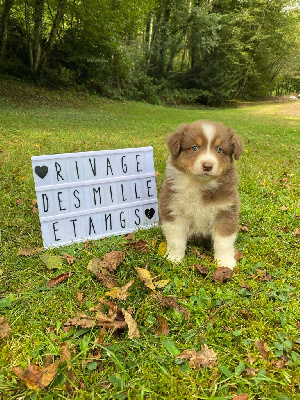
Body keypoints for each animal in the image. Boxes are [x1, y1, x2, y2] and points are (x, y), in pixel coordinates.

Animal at [158, 119, 243, 268]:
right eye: (194, 148)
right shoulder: (173, 209)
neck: (200, 184)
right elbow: (176, 239)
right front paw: (174, 258)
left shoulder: (226, 211)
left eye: (219, 149)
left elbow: (224, 241)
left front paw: (225, 262)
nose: (207, 166)